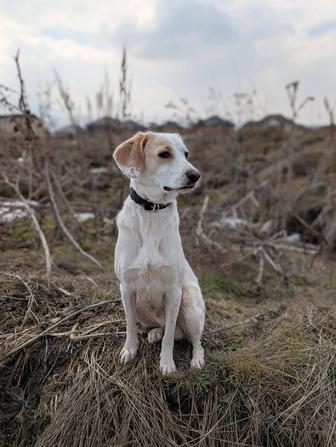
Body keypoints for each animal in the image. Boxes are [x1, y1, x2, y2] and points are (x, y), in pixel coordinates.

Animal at [113, 132, 205, 374]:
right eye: (164, 154)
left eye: (186, 154)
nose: (196, 175)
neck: (152, 211)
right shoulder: (126, 288)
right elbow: (130, 326)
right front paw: (130, 349)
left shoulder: (174, 291)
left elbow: (170, 336)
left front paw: (166, 363)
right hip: (141, 306)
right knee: (166, 328)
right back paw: (155, 332)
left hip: (189, 303)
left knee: (193, 338)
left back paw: (197, 359)